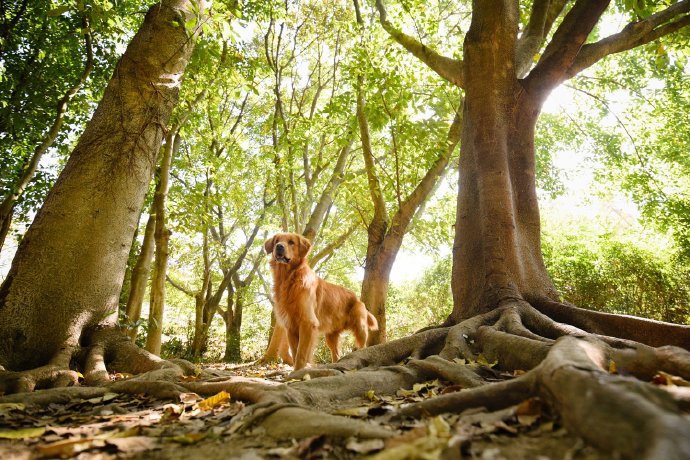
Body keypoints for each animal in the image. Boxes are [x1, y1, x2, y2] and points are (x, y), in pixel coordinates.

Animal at [266, 232, 378, 368]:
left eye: (291, 242)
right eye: (277, 240)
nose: (279, 246)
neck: (289, 279)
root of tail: (358, 299)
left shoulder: (308, 323)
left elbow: (300, 355)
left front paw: (299, 371)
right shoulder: (290, 327)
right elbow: (294, 351)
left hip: (360, 329)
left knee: (362, 347)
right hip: (331, 337)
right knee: (336, 355)